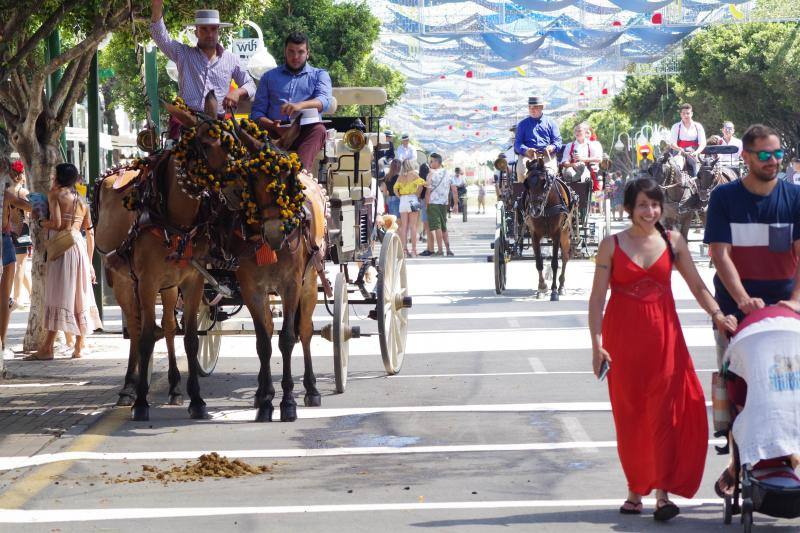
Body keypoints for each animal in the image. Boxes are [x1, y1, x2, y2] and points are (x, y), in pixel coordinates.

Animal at [524, 156, 576, 302]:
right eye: (526, 183)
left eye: (544, 182)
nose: (535, 210)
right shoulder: (534, 234)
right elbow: (539, 262)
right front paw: (541, 287)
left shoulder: (556, 233)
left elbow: (554, 263)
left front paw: (554, 291)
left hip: (565, 234)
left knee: (564, 258)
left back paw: (562, 286)